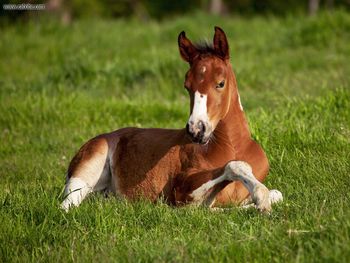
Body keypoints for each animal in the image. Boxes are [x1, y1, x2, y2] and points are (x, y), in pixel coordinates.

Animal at [60, 26, 282, 212]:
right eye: (187, 86)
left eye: (220, 83)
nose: (196, 129)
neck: (233, 146)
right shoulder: (181, 189)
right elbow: (232, 168)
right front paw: (260, 198)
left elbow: (277, 194)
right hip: (86, 169)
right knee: (66, 205)